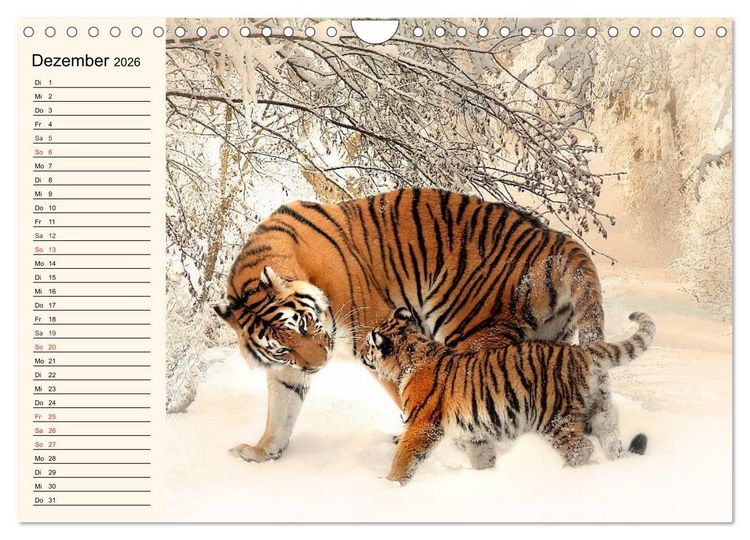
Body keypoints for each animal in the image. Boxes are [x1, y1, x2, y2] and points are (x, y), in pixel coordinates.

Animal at [213, 188, 612, 464]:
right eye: (282, 347)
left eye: (306, 324)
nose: (319, 365)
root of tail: (555, 239)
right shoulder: (287, 368)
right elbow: (280, 410)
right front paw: (262, 452)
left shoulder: (376, 333)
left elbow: (407, 392)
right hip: (550, 340)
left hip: (471, 332)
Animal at [361, 308, 655, 485]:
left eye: (367, 344)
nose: (362, 353)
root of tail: (580, 352)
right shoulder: (474, 432)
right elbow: (482, 457)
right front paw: (487, 476)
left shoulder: (422, 425)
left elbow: (404, 457)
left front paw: (390, 486)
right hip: (599, 409)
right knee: (610, 436)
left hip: (554, 418)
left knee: (581, 448)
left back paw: (565, 475)